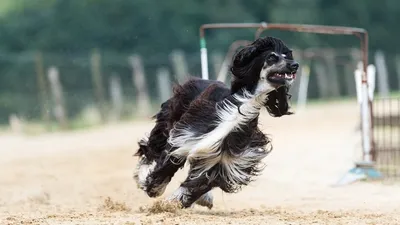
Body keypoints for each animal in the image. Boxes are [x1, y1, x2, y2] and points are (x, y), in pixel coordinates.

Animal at [133, 35, 298, 209]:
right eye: (272, 57)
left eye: (287, 56)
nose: (295, 65)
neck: (244, 104)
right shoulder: (184, 138)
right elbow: (166, 167)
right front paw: (153, 188)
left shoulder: (223, 161)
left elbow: (199, 182)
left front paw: (174, 202)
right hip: (169, 121)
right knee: (150, 148)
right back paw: (141, 175)